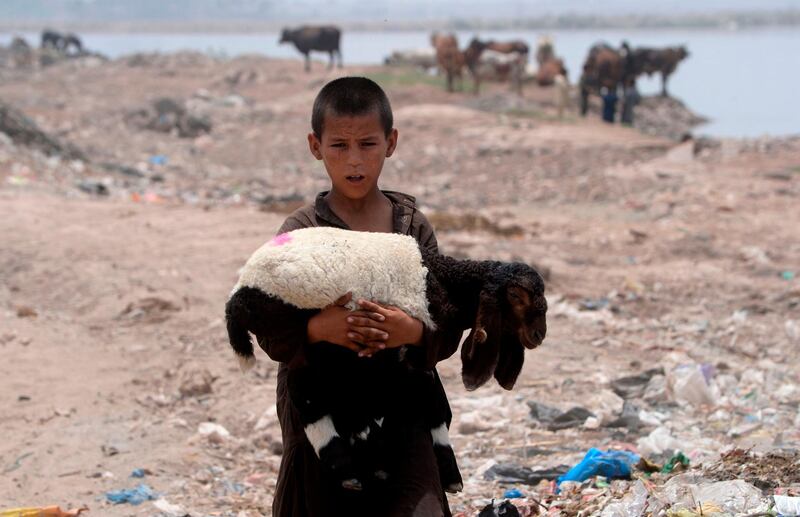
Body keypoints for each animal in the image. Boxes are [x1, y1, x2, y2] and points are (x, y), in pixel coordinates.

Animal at [228, 227, 548, 492]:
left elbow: (426, 402)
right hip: (304, 331)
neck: (441, 278)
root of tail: (238, 295)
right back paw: (347, 466)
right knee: (308, 397)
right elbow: (419, 402)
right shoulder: (404, 351)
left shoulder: (402, 355)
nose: (539, 334)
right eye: (516, 298)